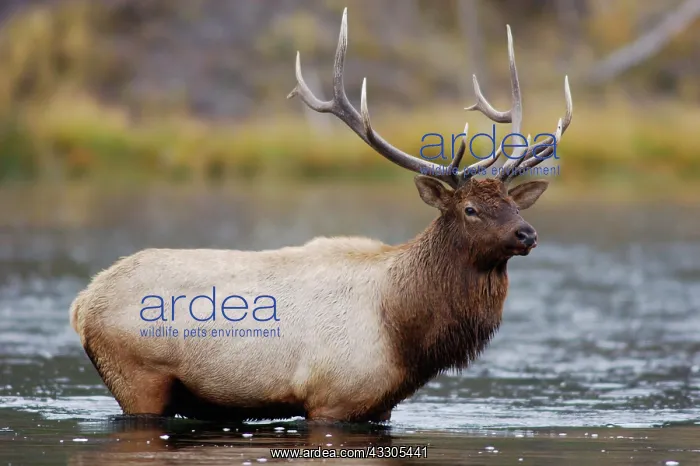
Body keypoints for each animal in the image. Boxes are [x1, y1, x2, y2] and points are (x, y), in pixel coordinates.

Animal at [69, 8, 572, 423]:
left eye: (513, 204)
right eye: (470, 209)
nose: (527, 234)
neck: (403, 333)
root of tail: (82, 304)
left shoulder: (378, 407)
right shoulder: (332, 399)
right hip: (138, 379)